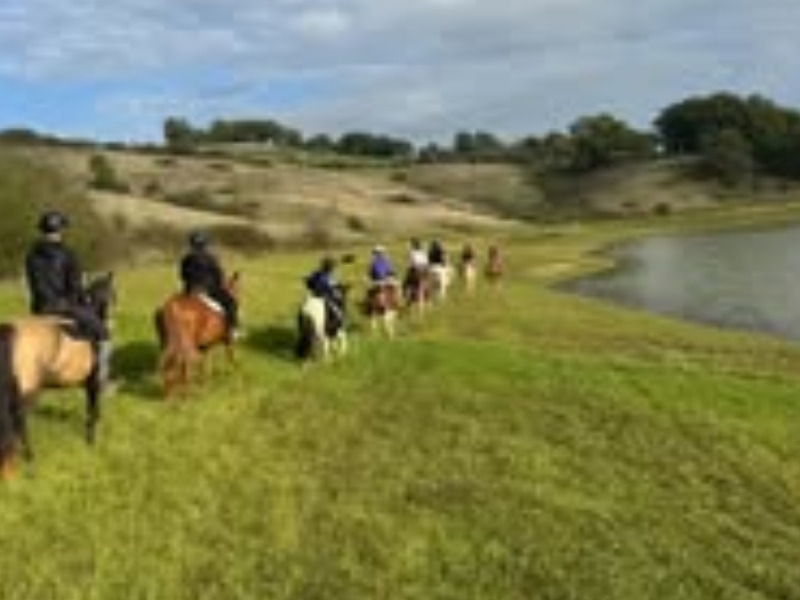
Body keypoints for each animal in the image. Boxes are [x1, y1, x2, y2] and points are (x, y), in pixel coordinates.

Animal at [0, 272, 115, 479]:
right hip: (28, 392)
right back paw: (28, 457)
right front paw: (91, 441)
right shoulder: (93, 384)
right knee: (19, 423)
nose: (110, 323)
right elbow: (92, 411)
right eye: (112, 293)